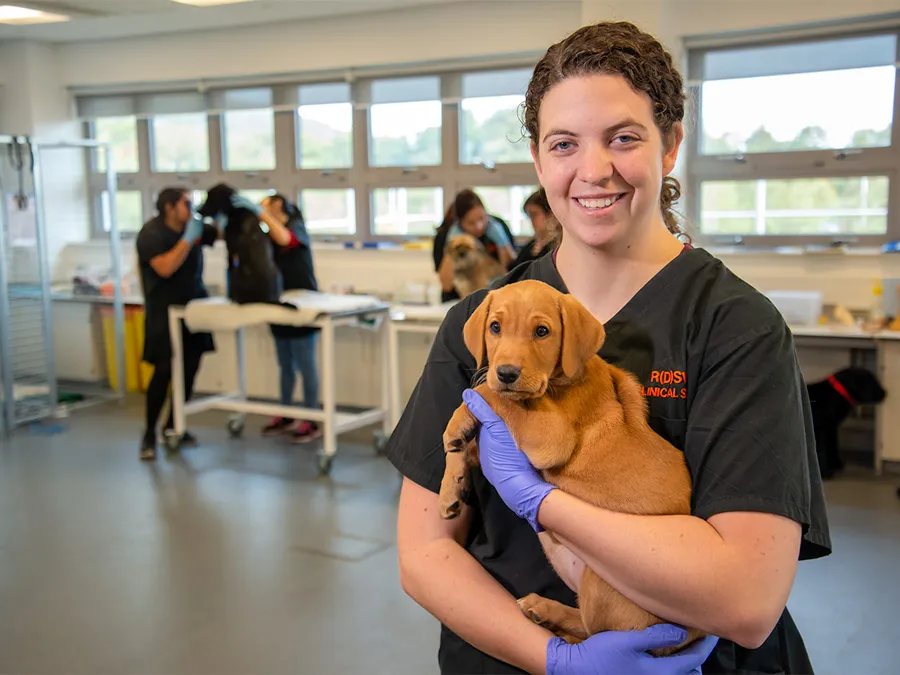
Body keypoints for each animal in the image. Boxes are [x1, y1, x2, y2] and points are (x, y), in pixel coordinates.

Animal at [440, 280, 708, 656]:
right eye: (495, 327)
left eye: (542, 331)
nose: (506, 373)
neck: (557, 383)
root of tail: (696, 632)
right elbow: (469, 445)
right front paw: (450, 487)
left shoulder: (551, 436)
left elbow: (488, 395)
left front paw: (457, 422)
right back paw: (545, 611)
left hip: (605, 579)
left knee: (603, 635)